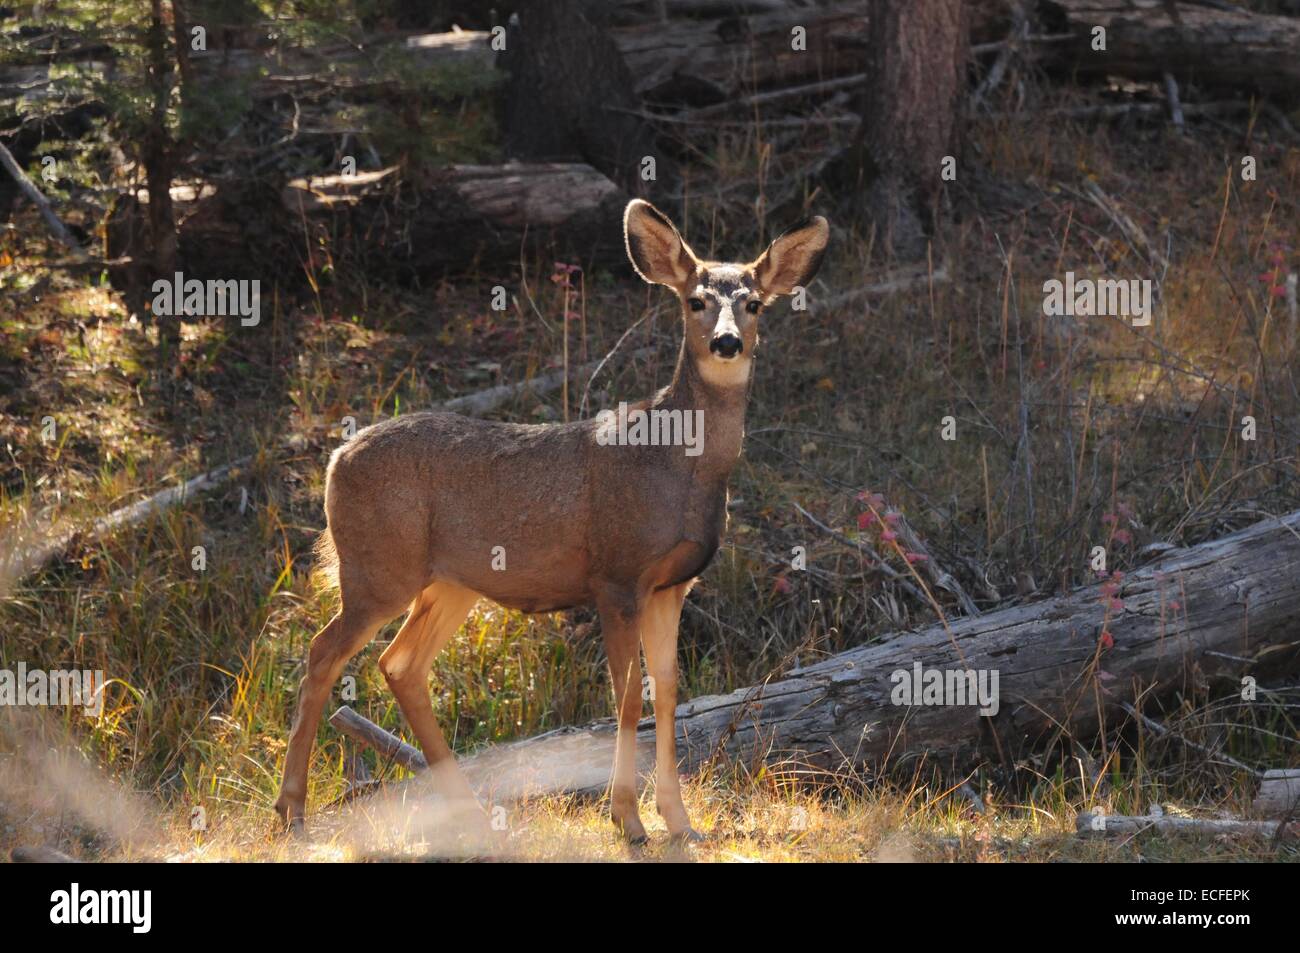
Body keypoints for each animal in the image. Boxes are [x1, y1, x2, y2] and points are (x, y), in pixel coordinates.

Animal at [276, 198, 832, 842]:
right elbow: (627, 701)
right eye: (695, 300)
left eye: (754, 302)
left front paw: (681, 822)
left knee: (400, 664)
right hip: (377, 569)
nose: (725, 342)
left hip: (449, 582)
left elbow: (667, 695)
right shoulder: (616, 576)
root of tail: (334, 460)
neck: (677, 464)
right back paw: (291, 809)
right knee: (322, 653)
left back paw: (468, 811)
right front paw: (628, 819)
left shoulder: (673, 584)